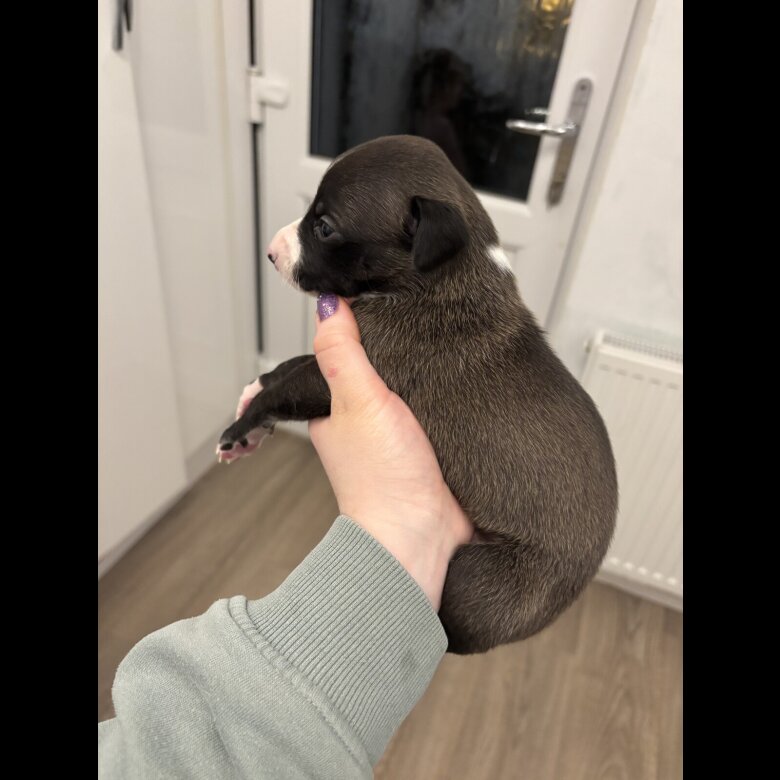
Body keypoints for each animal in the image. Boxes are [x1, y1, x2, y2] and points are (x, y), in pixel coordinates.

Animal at [217, 135, 617, 655]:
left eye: (324, 227)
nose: (270, 251)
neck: (441, 275)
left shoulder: (347, 371)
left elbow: (291, 385)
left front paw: (239, 428)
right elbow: (290, 367)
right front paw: (254, 392)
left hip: (481, 582)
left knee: (450, 628)